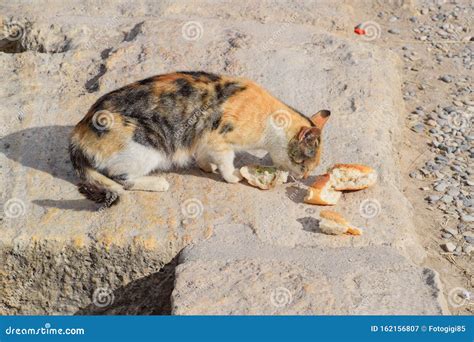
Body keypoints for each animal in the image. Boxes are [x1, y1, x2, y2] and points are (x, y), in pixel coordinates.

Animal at [69, 71, 330, 206]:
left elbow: (204, 155)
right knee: (121, 179)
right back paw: (159, 182)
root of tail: (79, 131)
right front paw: (233, 176)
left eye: (312, 167)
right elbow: (227, 162)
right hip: (146, 147)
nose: (304, 177)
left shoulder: (204, 139)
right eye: (304, 164)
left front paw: (206, 167)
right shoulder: (220, 139)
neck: (269, 118)